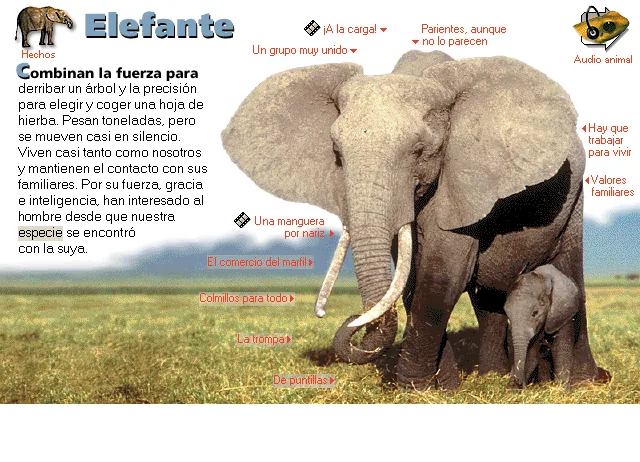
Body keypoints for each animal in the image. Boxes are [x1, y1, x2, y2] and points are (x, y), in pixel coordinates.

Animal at [221, 50, 600, 390]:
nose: (342, 319)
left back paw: (582, 382)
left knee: (569, 270)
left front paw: (412, 389)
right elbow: (408, 278)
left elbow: (442, 274)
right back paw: (491, 377)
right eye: (337, 154)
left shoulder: (458, 179)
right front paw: (444, 388)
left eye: (419, 151)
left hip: (573, 201)